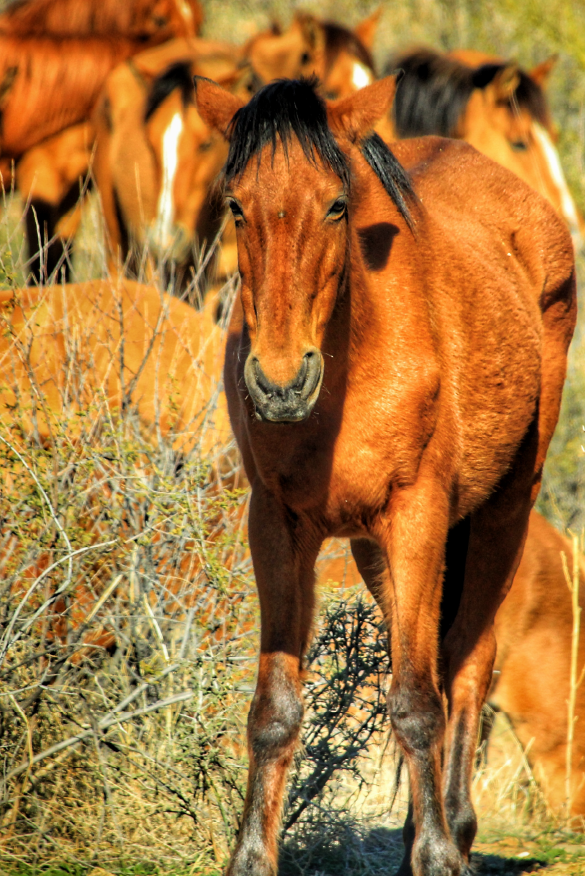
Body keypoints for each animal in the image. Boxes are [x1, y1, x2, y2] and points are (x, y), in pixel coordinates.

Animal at [193, 75, 576, 876]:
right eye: (235, 205)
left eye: (336, 204)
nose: (279, 384)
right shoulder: (277, 525)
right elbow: (275, 709)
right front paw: (251, 857)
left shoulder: (419, 515)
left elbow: (417, 700)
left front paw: (436, 854)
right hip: (378, 552)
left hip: (503, 511)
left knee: (466, 665)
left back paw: (454, 830)